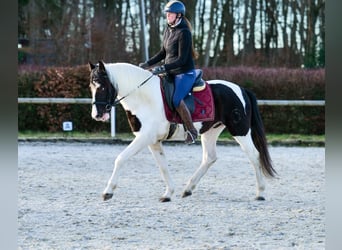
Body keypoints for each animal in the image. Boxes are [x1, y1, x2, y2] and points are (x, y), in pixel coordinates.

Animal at [89, 61, 278, 203]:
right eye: (91, 87)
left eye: (103, 87)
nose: (97, 115)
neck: (143, 97)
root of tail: (241, 89)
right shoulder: (153, 141)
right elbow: (163, 166)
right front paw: (168, 194)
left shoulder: (145, 138)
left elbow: (121, 158)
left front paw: (108, 192)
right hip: (210, 131)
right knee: (210, 158)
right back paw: (188, 189)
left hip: (240, 131)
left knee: (254, 155)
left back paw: (260, 193)